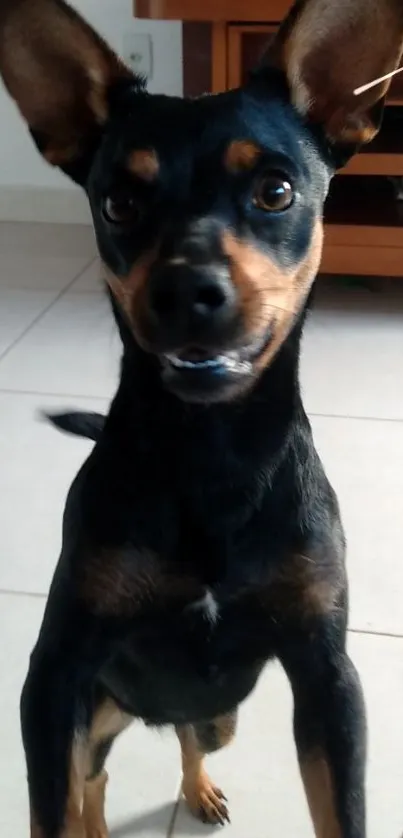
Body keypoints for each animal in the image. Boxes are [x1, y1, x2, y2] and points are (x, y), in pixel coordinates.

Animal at [0, 1, 403, 838]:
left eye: (276, 191)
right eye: (118, 202)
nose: (187, 292)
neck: (213, 450)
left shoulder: (327, 677)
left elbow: (339, 808)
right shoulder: (53, 677)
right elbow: (51, 805)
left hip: (221, 713)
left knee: (190, 734)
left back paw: (199, 788)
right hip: (99, 706)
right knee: (93, 776)